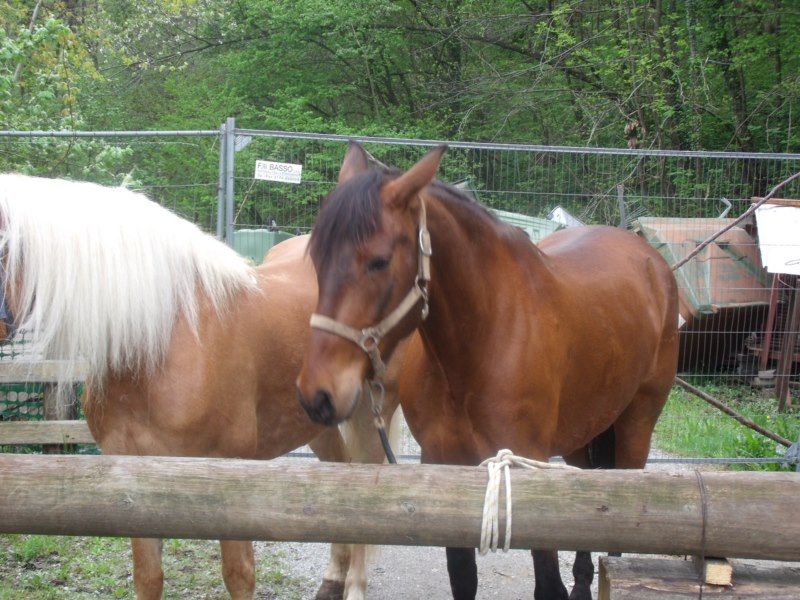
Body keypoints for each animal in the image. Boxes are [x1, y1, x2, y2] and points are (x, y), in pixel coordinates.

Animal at [0, 173, 400, 600]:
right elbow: (148, 577)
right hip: (315, 424)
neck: (159, 344)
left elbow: (239, 575)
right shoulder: (135, 481)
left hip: (372, 415)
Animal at [296, 144, 680, 600]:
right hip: (582, 431)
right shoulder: (447, 466)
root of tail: (650, 258)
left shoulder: (524, 467)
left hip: (637, 426)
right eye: (316, 260)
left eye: (379, 261)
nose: (317, 395)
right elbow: (463, 577)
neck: (481, 344)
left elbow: (548, 583)